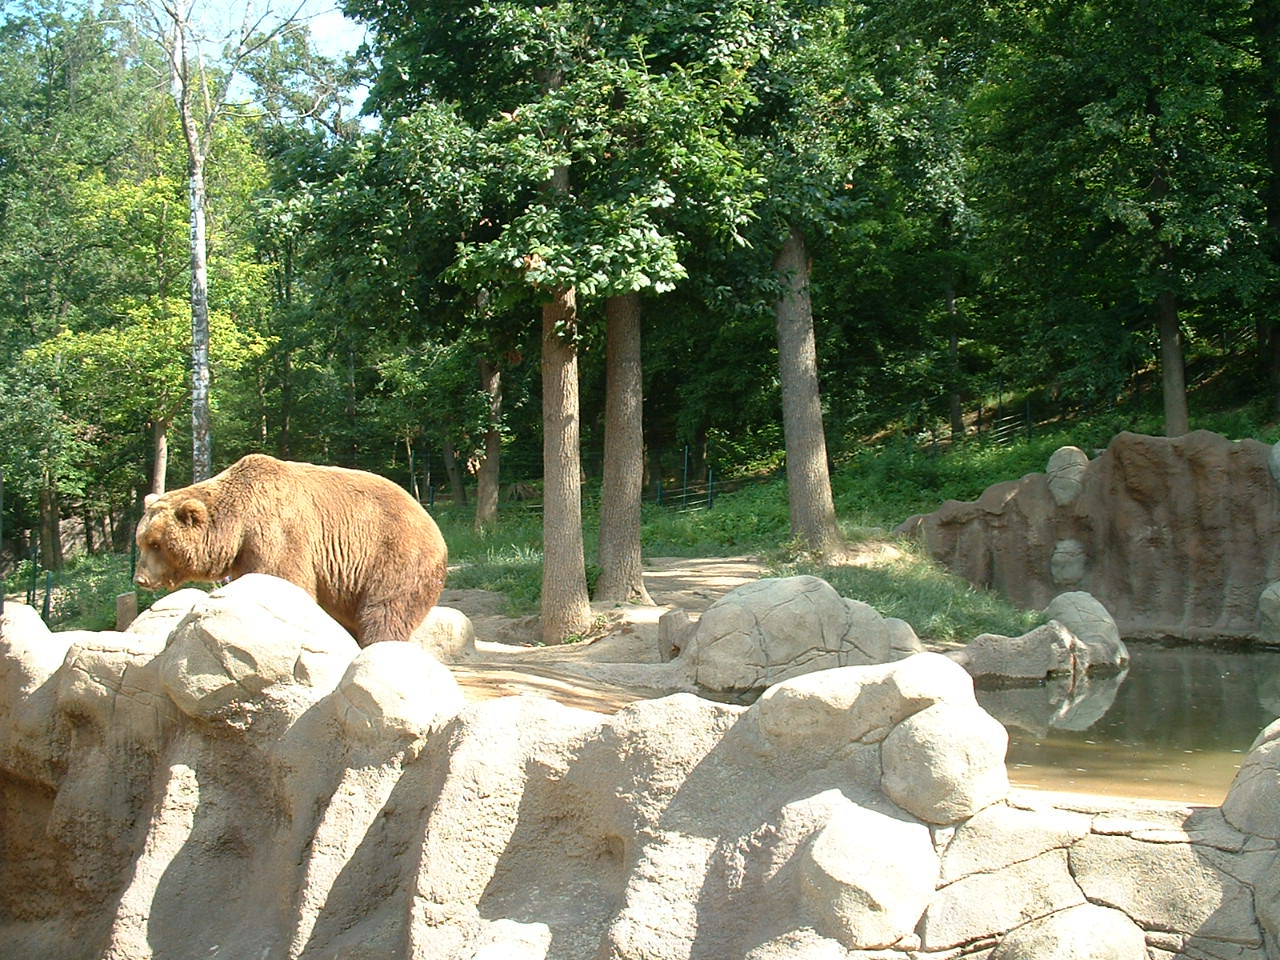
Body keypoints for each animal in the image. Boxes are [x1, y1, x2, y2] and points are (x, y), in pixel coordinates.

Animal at [134, 453, 448, 646]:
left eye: (156, 543)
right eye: (141, 541)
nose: (141, 578)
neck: (237, 524)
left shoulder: (276, 530)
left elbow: (286, 577)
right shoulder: (245, 552)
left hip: (393, 556)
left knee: (384, 612)